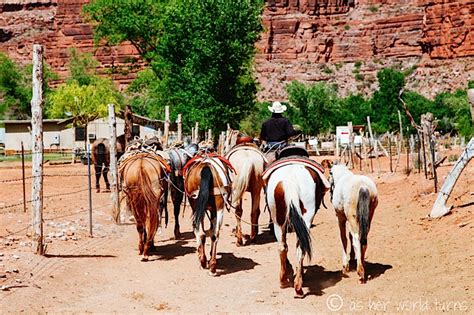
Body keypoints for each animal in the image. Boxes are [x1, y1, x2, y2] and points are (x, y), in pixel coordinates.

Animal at [262, 151, 330, 298]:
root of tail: (291, 181)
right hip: (303, 218)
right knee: (297, 247)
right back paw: (296, 285)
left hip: (278, 220)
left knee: (284, 247)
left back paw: (286, 281)